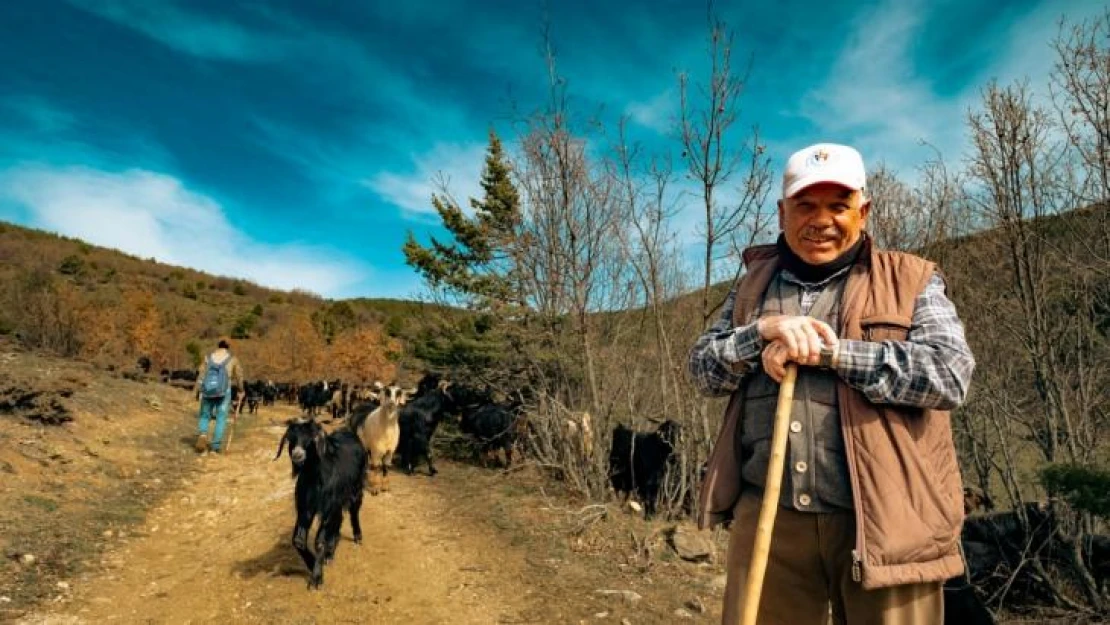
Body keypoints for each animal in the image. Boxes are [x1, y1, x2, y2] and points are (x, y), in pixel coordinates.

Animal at [274, 417, 368, 590]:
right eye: (291, 438)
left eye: (311, 439)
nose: (297, 454)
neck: (315, 477)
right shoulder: (305, 507)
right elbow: (298, 541)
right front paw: (313, 564)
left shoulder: (327, 507)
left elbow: (319, 541)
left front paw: (317, 577)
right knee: (338, 520)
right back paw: (330, 553)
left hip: (356, 488)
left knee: (354, 511)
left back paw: (357, 536)